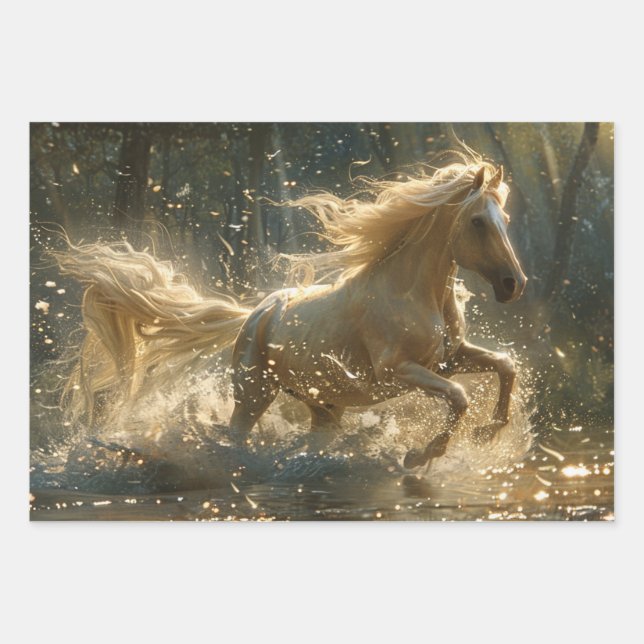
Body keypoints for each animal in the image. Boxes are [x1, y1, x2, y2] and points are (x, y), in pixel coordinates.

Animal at [54, 155, 527, 471]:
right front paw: (419, 456)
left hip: (325, 407)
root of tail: (255, 313)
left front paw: (489, 431)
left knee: (313, 440)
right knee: (236, 436)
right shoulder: (398, 371)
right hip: (253, 395)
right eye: (478, 222)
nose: (513, 285)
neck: (410, 292)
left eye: (505, 219)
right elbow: (460, 396)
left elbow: (505, 365)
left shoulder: (448, 358)